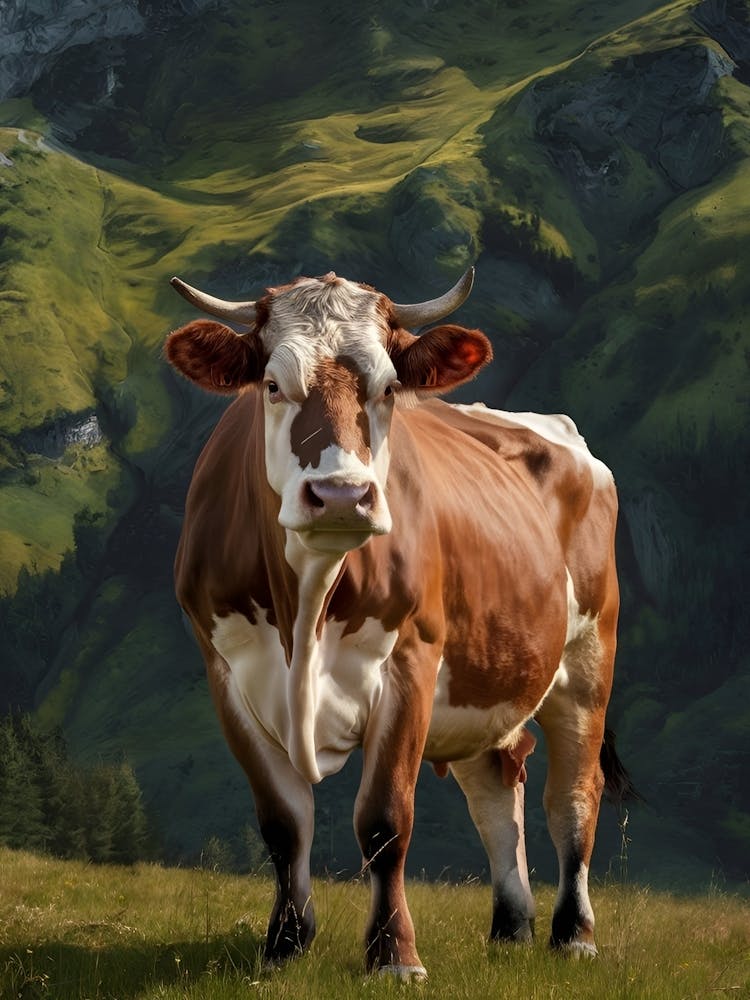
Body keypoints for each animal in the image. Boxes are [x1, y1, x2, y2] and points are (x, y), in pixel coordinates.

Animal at [165, 266, 624, 980]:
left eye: (387, 388)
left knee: (572, 797)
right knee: (496, 791)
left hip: (586, 661)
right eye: (272, 385)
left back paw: (573, 934)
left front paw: (393, 956)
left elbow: (385, 822)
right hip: (485, 677)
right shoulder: (228, 676)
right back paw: (510, 928)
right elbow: (283, 824)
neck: (306, 606)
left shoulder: (411, 662)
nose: (341, 495)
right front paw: (285, 945)